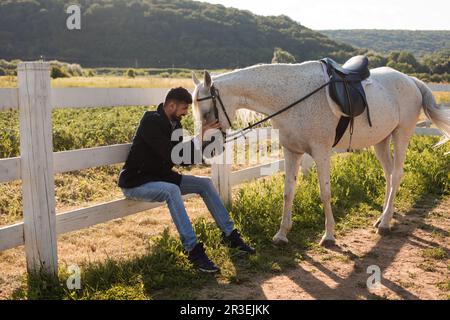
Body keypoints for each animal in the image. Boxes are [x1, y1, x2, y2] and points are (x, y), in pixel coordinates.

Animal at [191, 62, 450, 248]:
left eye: (207, 112)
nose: (206, 148)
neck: (293, 97)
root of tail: (410, 80)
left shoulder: (321, 152)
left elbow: (325, 193)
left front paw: (329, 236)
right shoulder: (292, 152)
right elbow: (288, 193)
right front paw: (281, 234)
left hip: (402, 134)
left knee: (396, 175)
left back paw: (385, 223)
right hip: (381, 141)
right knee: (388, 175)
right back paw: (383, 217)